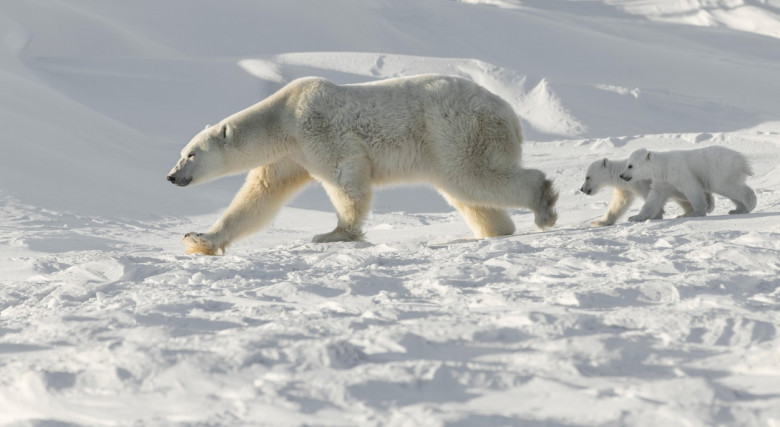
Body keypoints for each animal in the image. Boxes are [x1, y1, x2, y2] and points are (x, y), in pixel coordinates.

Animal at [166, 75, 556, 256]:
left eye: (191, 154)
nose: (171, 176)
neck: (283, 117)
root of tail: (510, 115)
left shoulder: (316, 128)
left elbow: (345, 176)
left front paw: (333, 234)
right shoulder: (289, 156)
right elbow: (259, 196)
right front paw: (199, 239)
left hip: (457, 130)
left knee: (474, 176)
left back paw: (544, 204)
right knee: (466, 191)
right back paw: (493, 230)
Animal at [580, 158, 712, 227]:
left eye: (587, 177)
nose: (582, 189)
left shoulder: (641, 183)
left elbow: (651, 197)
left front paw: (655, 215)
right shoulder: (625, 188)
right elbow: (619, 204)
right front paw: (598, 222)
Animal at [620, 145, 752, 222]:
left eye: (630, 165)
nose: (621, 175)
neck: (663, 166)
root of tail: (742, 161)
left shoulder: (680, 173)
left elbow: (692, 189)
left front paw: (697, 212)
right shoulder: (663, 181)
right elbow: (654, 198)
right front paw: (635, 217)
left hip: (719, 170)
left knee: (727, 186)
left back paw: (750, 204)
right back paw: (738, 210)